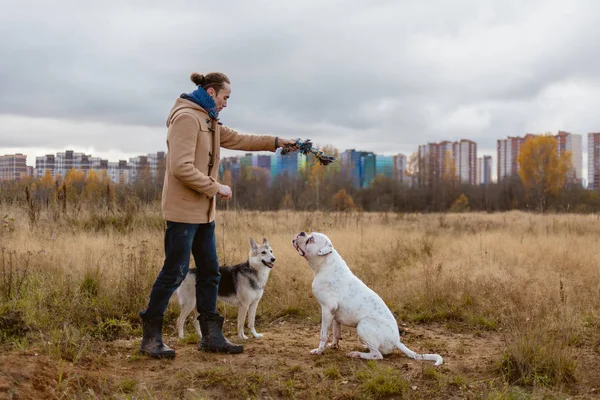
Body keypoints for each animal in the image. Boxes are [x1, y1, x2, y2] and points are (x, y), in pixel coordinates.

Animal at [292, 231, 442, 366]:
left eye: (310, 239)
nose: (301, 233)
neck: (326, 265)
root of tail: (397, 341)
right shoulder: (334, 314)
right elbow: (336, 332)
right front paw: (333, 346)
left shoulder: (327, 309)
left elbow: (323, 334)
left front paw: (319, 351)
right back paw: (364, 347)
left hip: (363, 324)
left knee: (377, 355)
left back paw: (357, 354)